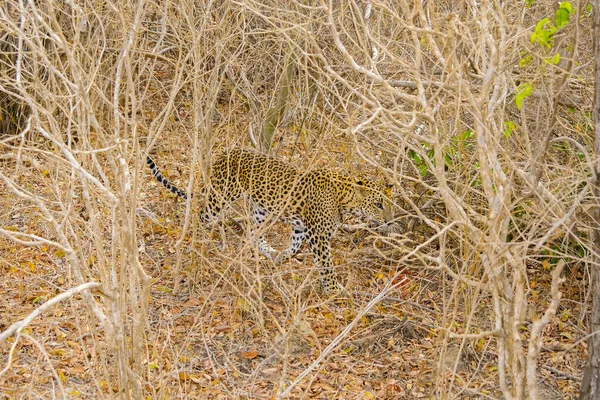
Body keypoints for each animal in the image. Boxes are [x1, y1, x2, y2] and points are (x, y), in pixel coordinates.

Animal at [146, 148, 394, 292]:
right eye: (378, 204)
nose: (391, 221)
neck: (344, 199)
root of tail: (224, 155)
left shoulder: (301, 228)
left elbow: (294, 247)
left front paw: (282, 257)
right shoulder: (318, 236)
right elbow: (326, 265)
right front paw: (334, 291)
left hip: (259, 209)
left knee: (253, 234)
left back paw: (270, 252)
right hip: (220, 198)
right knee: (200, 215)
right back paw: (198, 242)